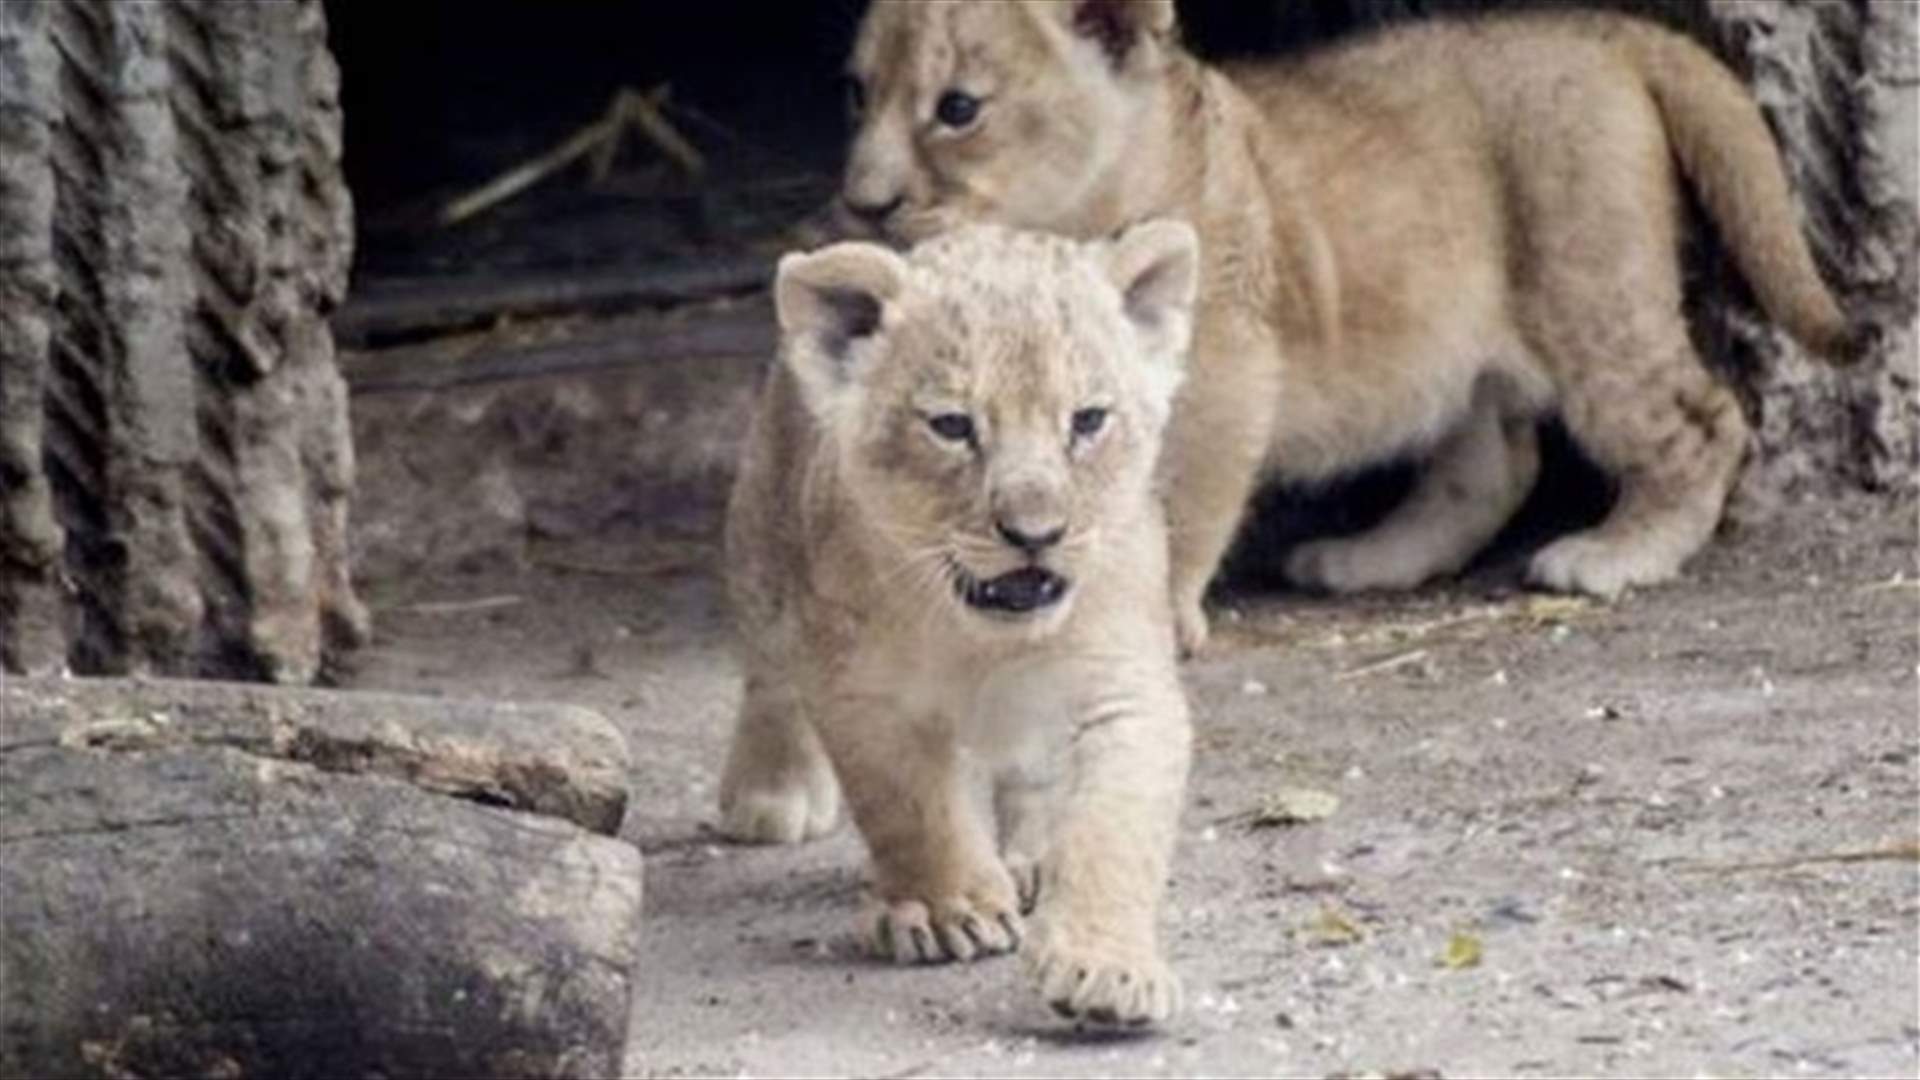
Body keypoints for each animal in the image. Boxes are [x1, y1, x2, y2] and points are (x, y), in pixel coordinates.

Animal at [719, 221, 1201, 1026]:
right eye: (952, 426)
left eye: (1087, 421)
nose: (1037, 533)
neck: (981, 635)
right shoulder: (859, 691)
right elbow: (909, 804)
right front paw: (947, 910)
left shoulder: (1122, 684)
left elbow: (1114, 829)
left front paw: (1106, 965)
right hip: (761, 534)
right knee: (768, 673)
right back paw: (769, 791)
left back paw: (1032, 855)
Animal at [833, 0, 1856, 654]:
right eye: (857, 92)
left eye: (958, 108)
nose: (863, 201)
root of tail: (1607, 29)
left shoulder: (1224, 375)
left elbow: (1181, 504)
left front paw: (1156, 618)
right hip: (1456, 344)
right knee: (1492, 466)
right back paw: (1368, 559)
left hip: (1590, 291)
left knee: (1702, 421)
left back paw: (1619, 552)